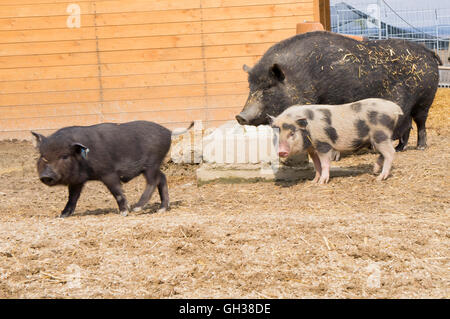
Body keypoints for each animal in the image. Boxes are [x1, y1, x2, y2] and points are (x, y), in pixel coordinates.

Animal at [32, 121, 192, 219]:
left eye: (64, 156)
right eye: (43, 156)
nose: (46, 176)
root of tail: (168, 132)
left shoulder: (108, 173)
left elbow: (117, 191)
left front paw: (124, 212)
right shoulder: (77, 181)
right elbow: (72, 197)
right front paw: (62, 215)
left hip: (151, 164)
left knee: (153, 181)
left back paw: (137, 208)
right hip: (155, 165)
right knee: (162, 178)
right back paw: (161, 209)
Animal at [237, 31, 442, 151]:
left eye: (268, 86)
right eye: (250, 86)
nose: (240, 116)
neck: (299, 77)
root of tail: (427, 50)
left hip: (426, 98)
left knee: (420, 122)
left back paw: (421, 147)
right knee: (407, 124)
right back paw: (399, 148)